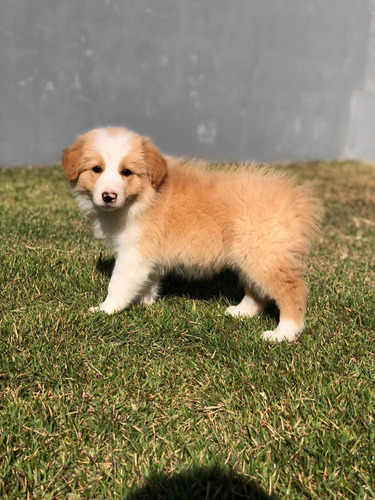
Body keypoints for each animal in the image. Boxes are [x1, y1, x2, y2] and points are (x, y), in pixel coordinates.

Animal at [61, 127, 318, 342]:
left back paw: (282, 333)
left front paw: (104, 310)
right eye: (97, 169)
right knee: (257, 292)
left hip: (265, 256)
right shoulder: (148, 256)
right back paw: (240, 312)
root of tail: (297, 202)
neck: (143, 197)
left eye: (126, 172)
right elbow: (148, 281)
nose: (108, 196)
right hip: (250, 256)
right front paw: (146, 302)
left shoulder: (134, 254)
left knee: (293, 290)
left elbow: (118, 284)